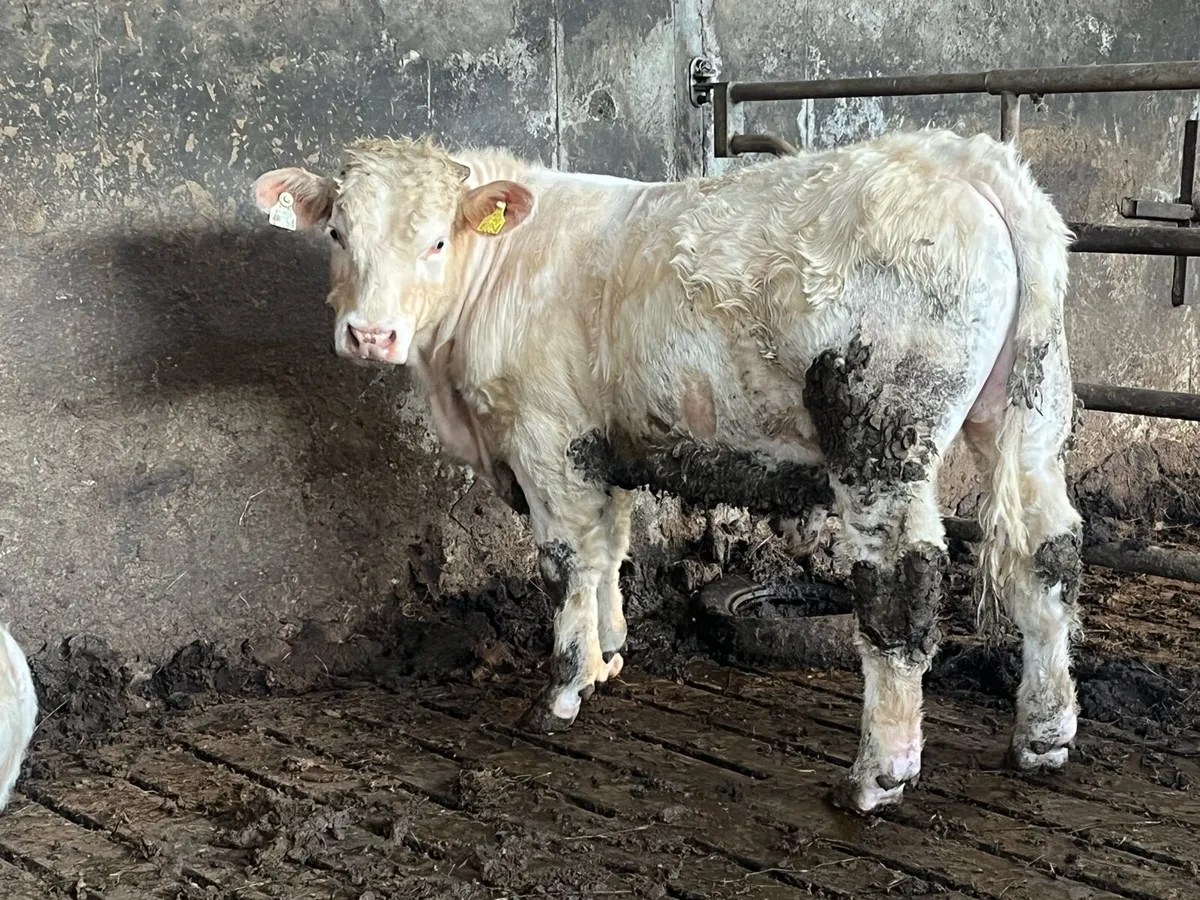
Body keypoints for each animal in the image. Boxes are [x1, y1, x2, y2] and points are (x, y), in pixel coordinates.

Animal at [253, 129, 1081, 814]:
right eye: (337, 232)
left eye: (433, 241)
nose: (371, 334)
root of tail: (961, 158)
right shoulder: (602, 441)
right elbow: (610, 547)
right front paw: (609, 656)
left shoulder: (545, 437)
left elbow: (566, 562)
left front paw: (561, 691)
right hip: (1030, 411)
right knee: (1049, 551)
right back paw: (1044, 733)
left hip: (882, 437)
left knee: (902, 582)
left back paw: (879, 776)